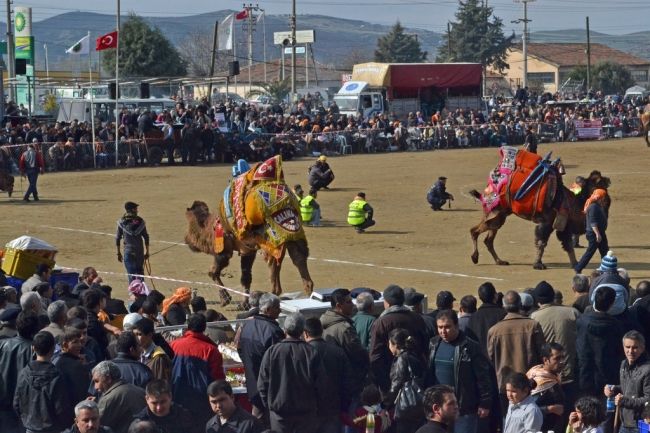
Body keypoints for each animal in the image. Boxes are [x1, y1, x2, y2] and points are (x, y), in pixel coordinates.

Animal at [184, 155, 312, 304]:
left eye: (190, 228)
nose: (186, 240)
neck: (212, 228)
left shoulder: (224, 249)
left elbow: (214, 272)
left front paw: (227, 298)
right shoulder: (248, 249)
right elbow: (246, 277)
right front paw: (242, 303)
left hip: (271, 236)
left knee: (275, 271)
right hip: (293, 233)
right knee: (299, 259)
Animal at [468, 147, 604, 268]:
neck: (564, 199)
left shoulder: (563, 223)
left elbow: (567, 244)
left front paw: (576, 264)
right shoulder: (547, 222)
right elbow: (541, 242)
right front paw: (538, 264)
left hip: (500, 215)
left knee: (488, 239)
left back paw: (500, 261)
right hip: (495, 212)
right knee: (474, 231)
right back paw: (475, 257)